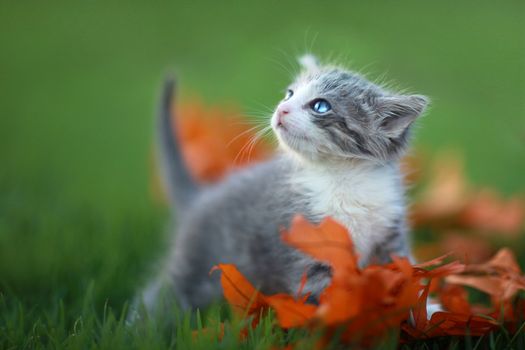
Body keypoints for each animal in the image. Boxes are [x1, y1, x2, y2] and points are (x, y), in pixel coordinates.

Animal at [138, 55, 426, 314]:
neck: (343, 177)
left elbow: (405, 276)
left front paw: (422, 314)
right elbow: (324, 297)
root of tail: (201, 196)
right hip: (195, 264)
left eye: (320, 106)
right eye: (289, 94)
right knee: (161, 298)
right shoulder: (307, 242)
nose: (281, 109)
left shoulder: (390, 233)